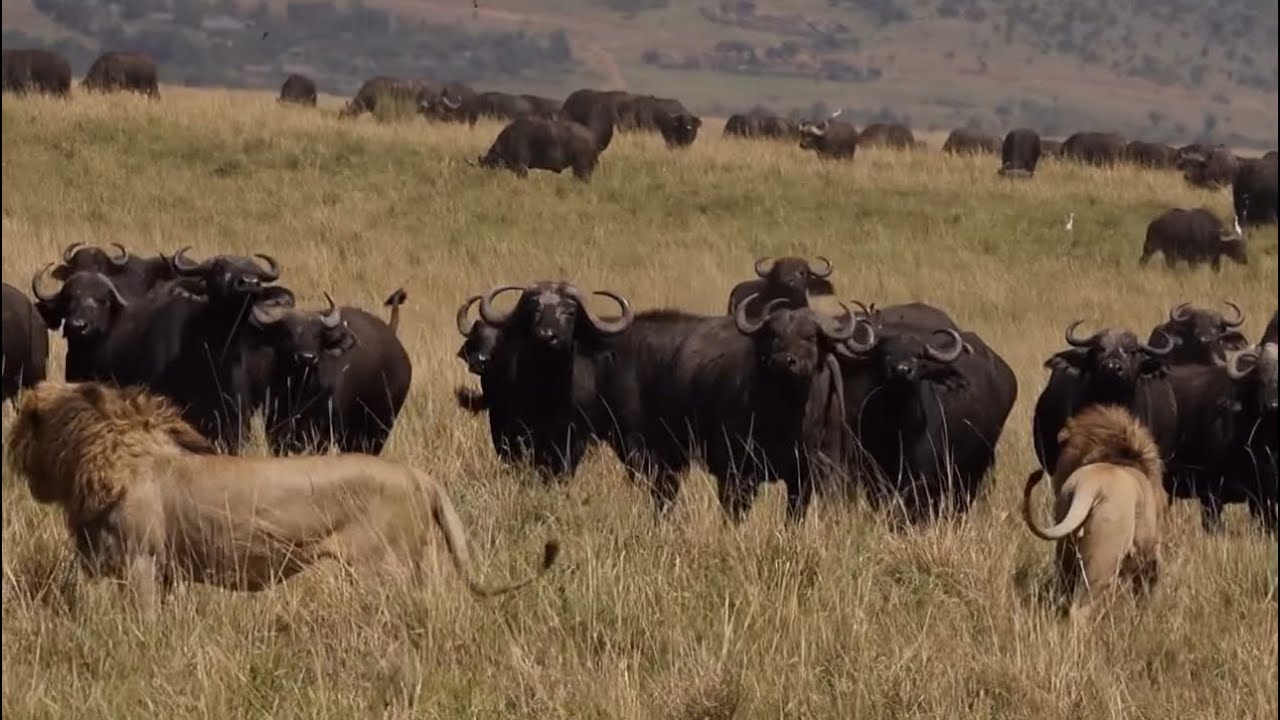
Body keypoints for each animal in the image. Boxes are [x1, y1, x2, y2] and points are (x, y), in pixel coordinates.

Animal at [6, 381, 559, 609]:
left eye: (26, 421)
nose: (10, 449)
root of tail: (419, 476)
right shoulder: (161, 571)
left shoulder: (141, 563)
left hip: (386, 569)